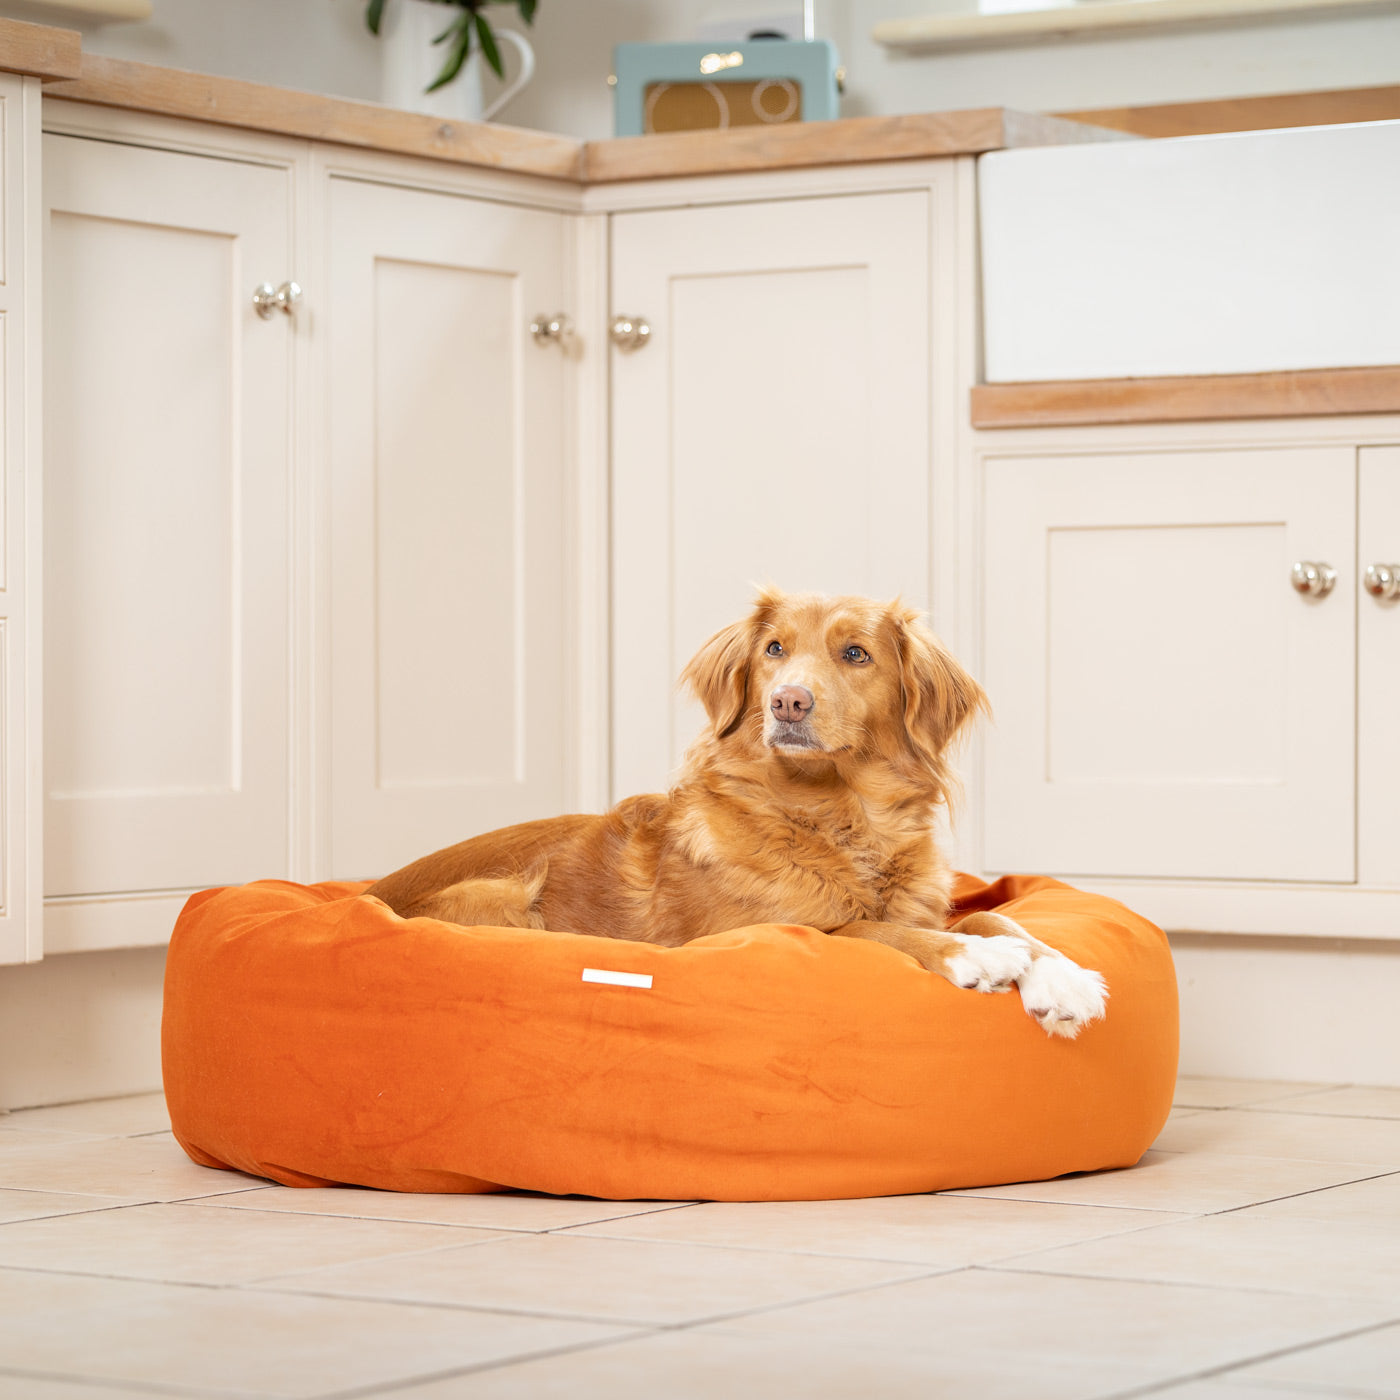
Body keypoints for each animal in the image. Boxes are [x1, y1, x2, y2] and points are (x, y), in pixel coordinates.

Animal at [366, 585, 1108, 1036]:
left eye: (856, 654)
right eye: (774, 649)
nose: (788, 702)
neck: (839, 818)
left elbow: (1000, 915)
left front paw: (1062, 976)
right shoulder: (762, 930)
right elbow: (864, 930)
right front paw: (971, 957)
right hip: (508, 899)